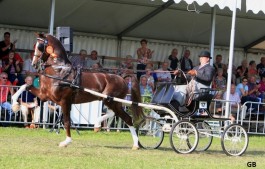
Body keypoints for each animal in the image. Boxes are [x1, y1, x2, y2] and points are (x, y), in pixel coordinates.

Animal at [11, 33, 144, 149]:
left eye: (39, 46)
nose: (34, 64)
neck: (58, 70)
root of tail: (122, 77)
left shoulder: (64, 101)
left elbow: (66, 121)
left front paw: (66, 141)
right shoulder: (44, 95)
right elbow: (25, 86)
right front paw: (15, 104)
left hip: (111, 100)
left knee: (125, 118)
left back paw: (133, 143)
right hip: (111, 101)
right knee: (119, 116)